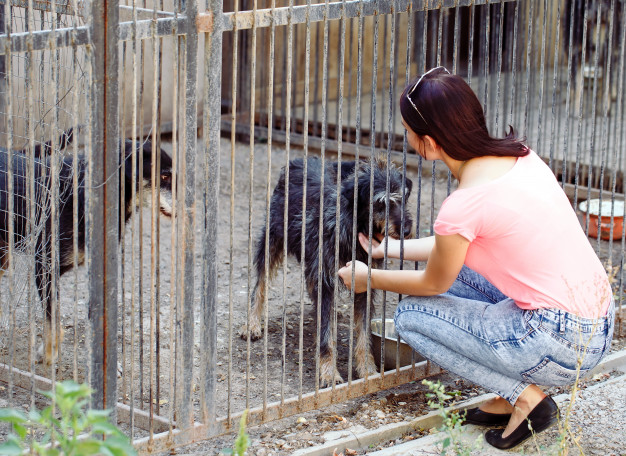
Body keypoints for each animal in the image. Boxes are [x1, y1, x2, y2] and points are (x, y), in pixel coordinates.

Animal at [241, 156, 412, 384]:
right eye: (380, 202)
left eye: (403, 198)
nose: (407, 230)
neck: (352, 228)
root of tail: (300, 159)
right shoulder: (325, 280)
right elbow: (326, 334)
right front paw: (329, 372)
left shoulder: (363, 283)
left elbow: (363, 333)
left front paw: (367, 370)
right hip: (273, 237)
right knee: (259, 283)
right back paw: (252, 324)